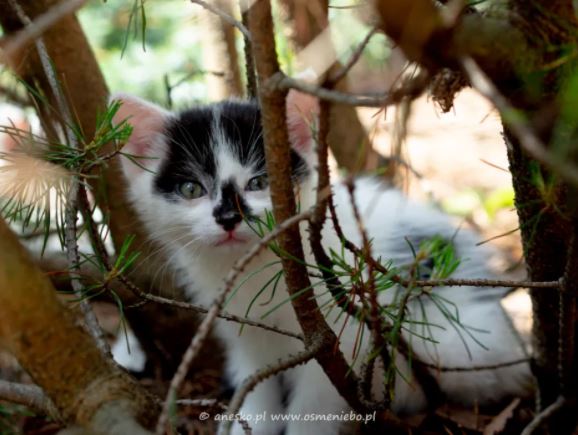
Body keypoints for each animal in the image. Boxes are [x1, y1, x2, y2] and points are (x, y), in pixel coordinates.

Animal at [111, 93, 532, 435]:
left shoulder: (336, 337)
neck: (259, 269)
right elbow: (255, 382)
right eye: (191, 189)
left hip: (458, 342)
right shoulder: (243, 329)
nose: (229, 218)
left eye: (259, 182)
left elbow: (316, 400)